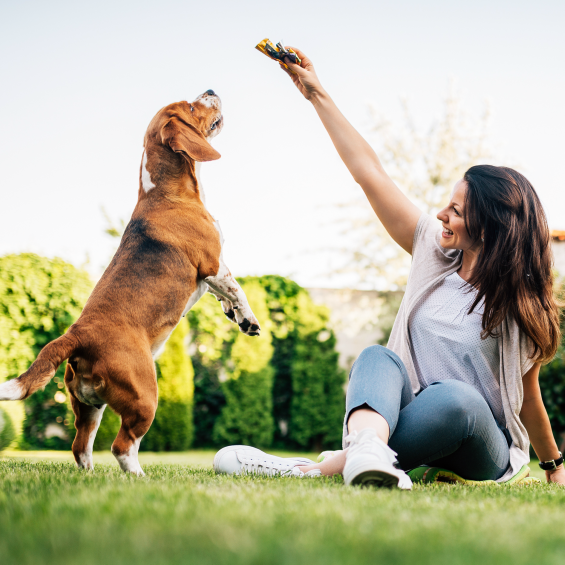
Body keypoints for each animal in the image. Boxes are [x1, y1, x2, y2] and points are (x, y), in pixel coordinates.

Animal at [0, 90, 260, 474]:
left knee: (80, 447)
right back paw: (138, 476)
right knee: (122, 446)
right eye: (192, 106)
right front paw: (249, 318)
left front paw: (234, 315)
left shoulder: (212, 276)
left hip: (88, 407)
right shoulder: (214, 265)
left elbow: (225, 296)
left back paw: (91, 475)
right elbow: (237, 290)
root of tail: (76, 335)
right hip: (144, 398)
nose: (211, 90)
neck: (165, 191)